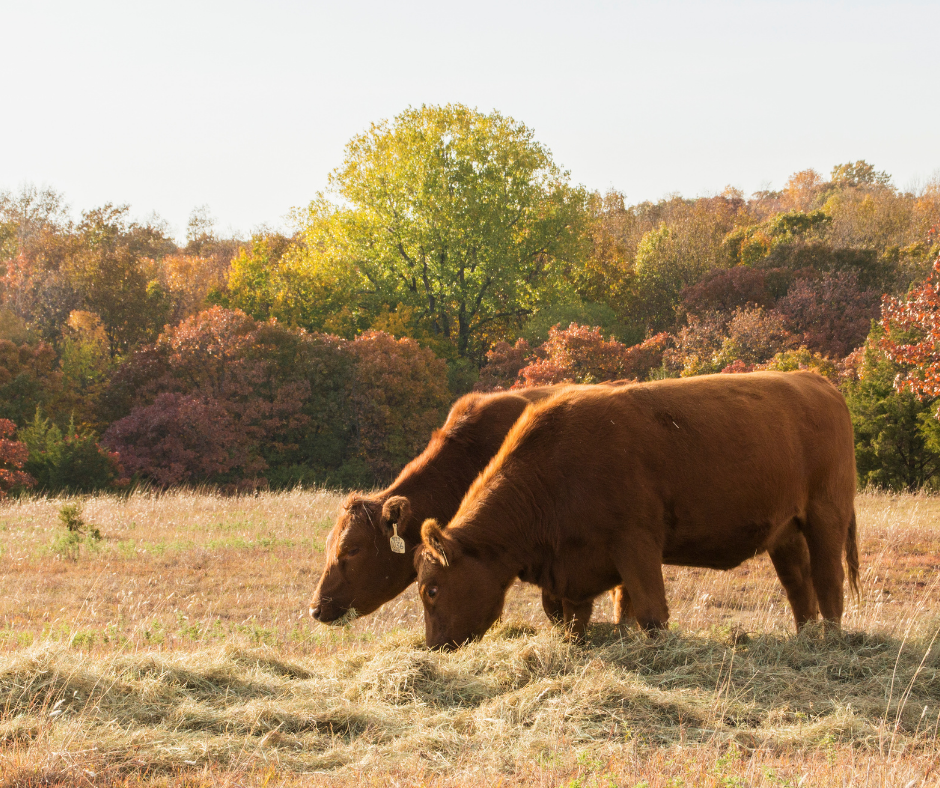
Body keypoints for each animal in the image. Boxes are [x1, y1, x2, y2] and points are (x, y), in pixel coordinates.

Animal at [418, 372, 860, 648]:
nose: (434, 646)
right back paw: (804, 639)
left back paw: (832, 641)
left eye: (431, 589)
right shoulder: (576, 568)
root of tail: (815, 381)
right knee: (799, 588)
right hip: (786, 533)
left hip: (826, 517)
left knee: (829, 582)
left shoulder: (636, 544)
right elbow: (578, 619)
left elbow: (650, 612)